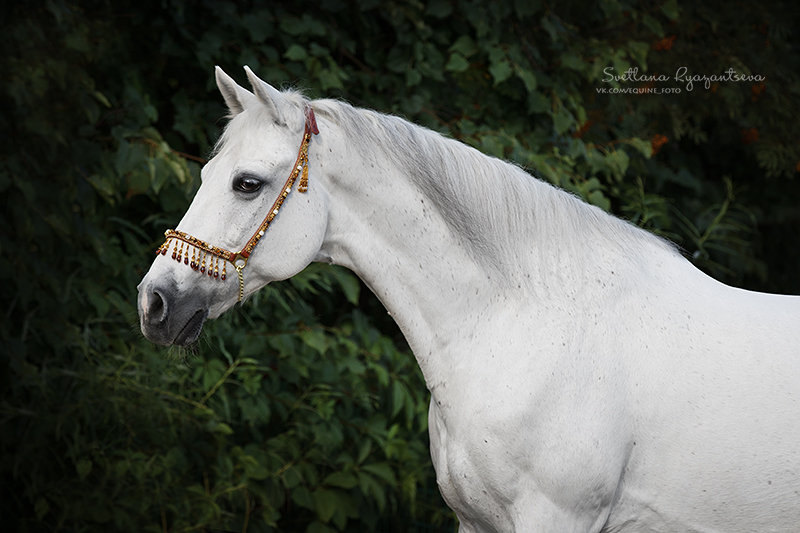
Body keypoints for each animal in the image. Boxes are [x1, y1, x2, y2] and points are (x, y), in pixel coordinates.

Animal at [138, 67, 800, 532]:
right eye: (206, 175)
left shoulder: (556, 519)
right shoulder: (474, 522)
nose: (154, 304)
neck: (522, 327)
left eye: (247, 184)